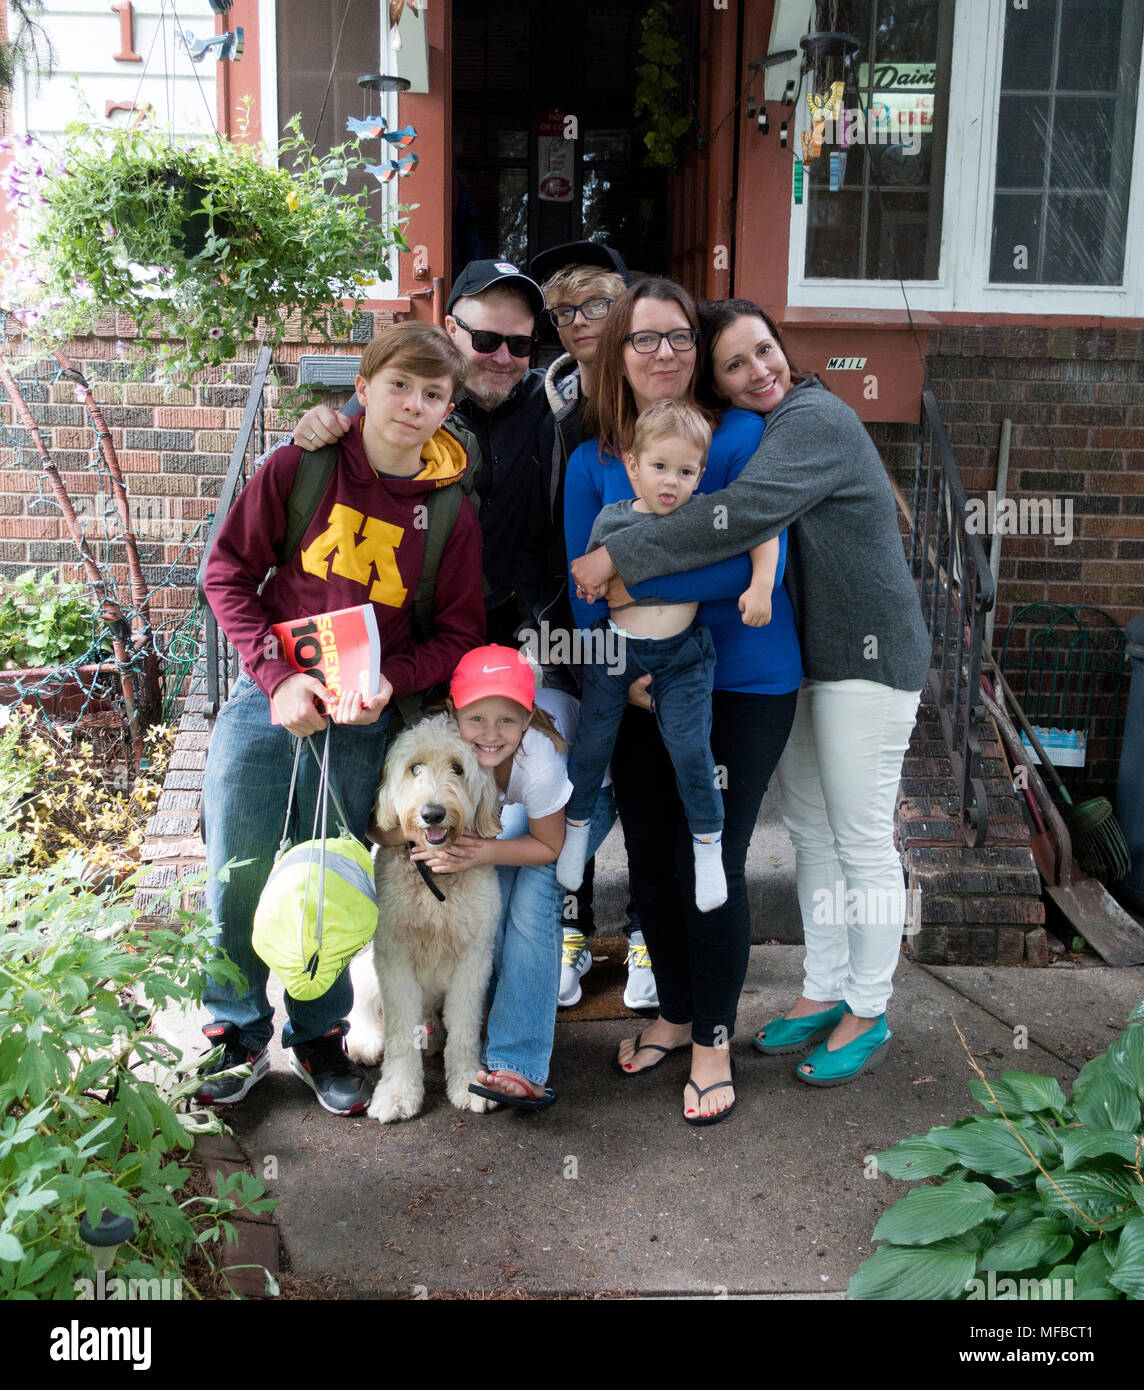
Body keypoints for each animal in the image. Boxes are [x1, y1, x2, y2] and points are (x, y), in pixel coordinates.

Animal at [348, 717, 500, 1117]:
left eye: (458, 768)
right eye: (414, 768)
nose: (433, 813)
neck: (434, 877)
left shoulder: (474, 960)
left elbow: (464, 1029)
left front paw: (467, 1083)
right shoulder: (393, 958)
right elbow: (401, 1033)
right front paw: (398, 1093)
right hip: (366, 969)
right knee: (362, 1009)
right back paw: (364, 1041)